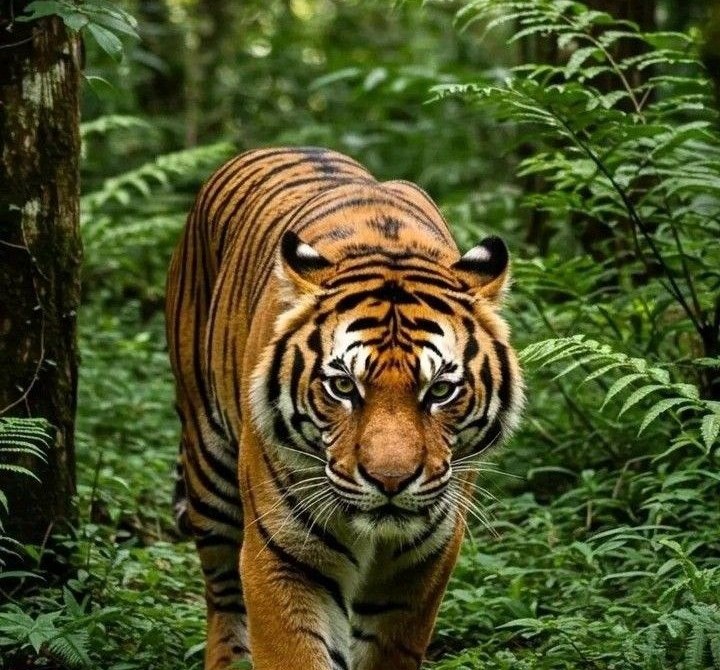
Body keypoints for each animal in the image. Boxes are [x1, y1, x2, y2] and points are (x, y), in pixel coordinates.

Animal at [165, 146, 523, 670]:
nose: (391, 482)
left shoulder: (423, 563)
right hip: (209, 470)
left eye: (439, 391)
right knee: (223, 598)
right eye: (342, 386)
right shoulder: (282, 555)